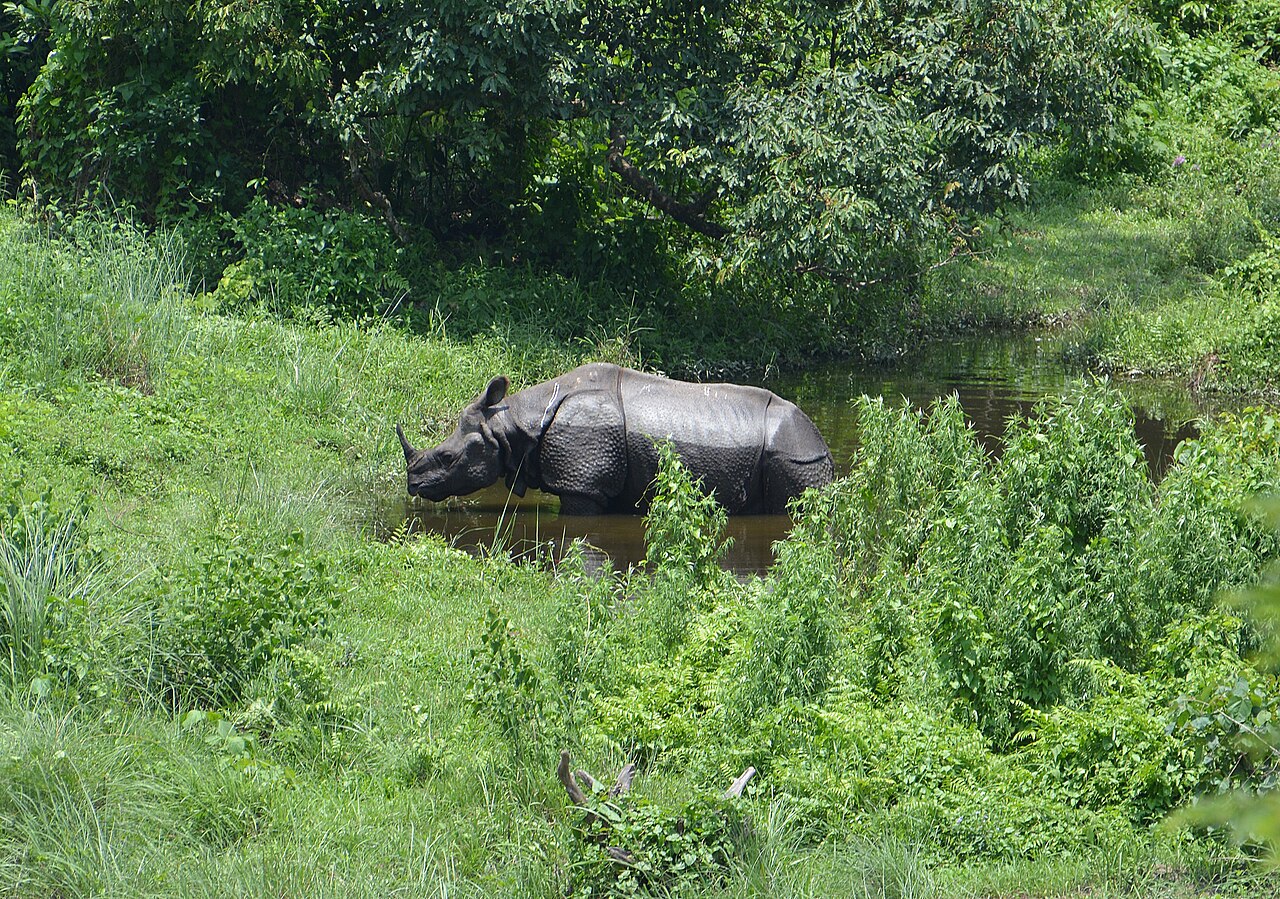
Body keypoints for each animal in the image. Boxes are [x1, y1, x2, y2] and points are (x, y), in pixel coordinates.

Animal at [396, 363, 833, 515]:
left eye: (448, 458)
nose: (413, 484)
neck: (512, 422)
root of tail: (819, 440)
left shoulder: (583, 482)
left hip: (796, 459)